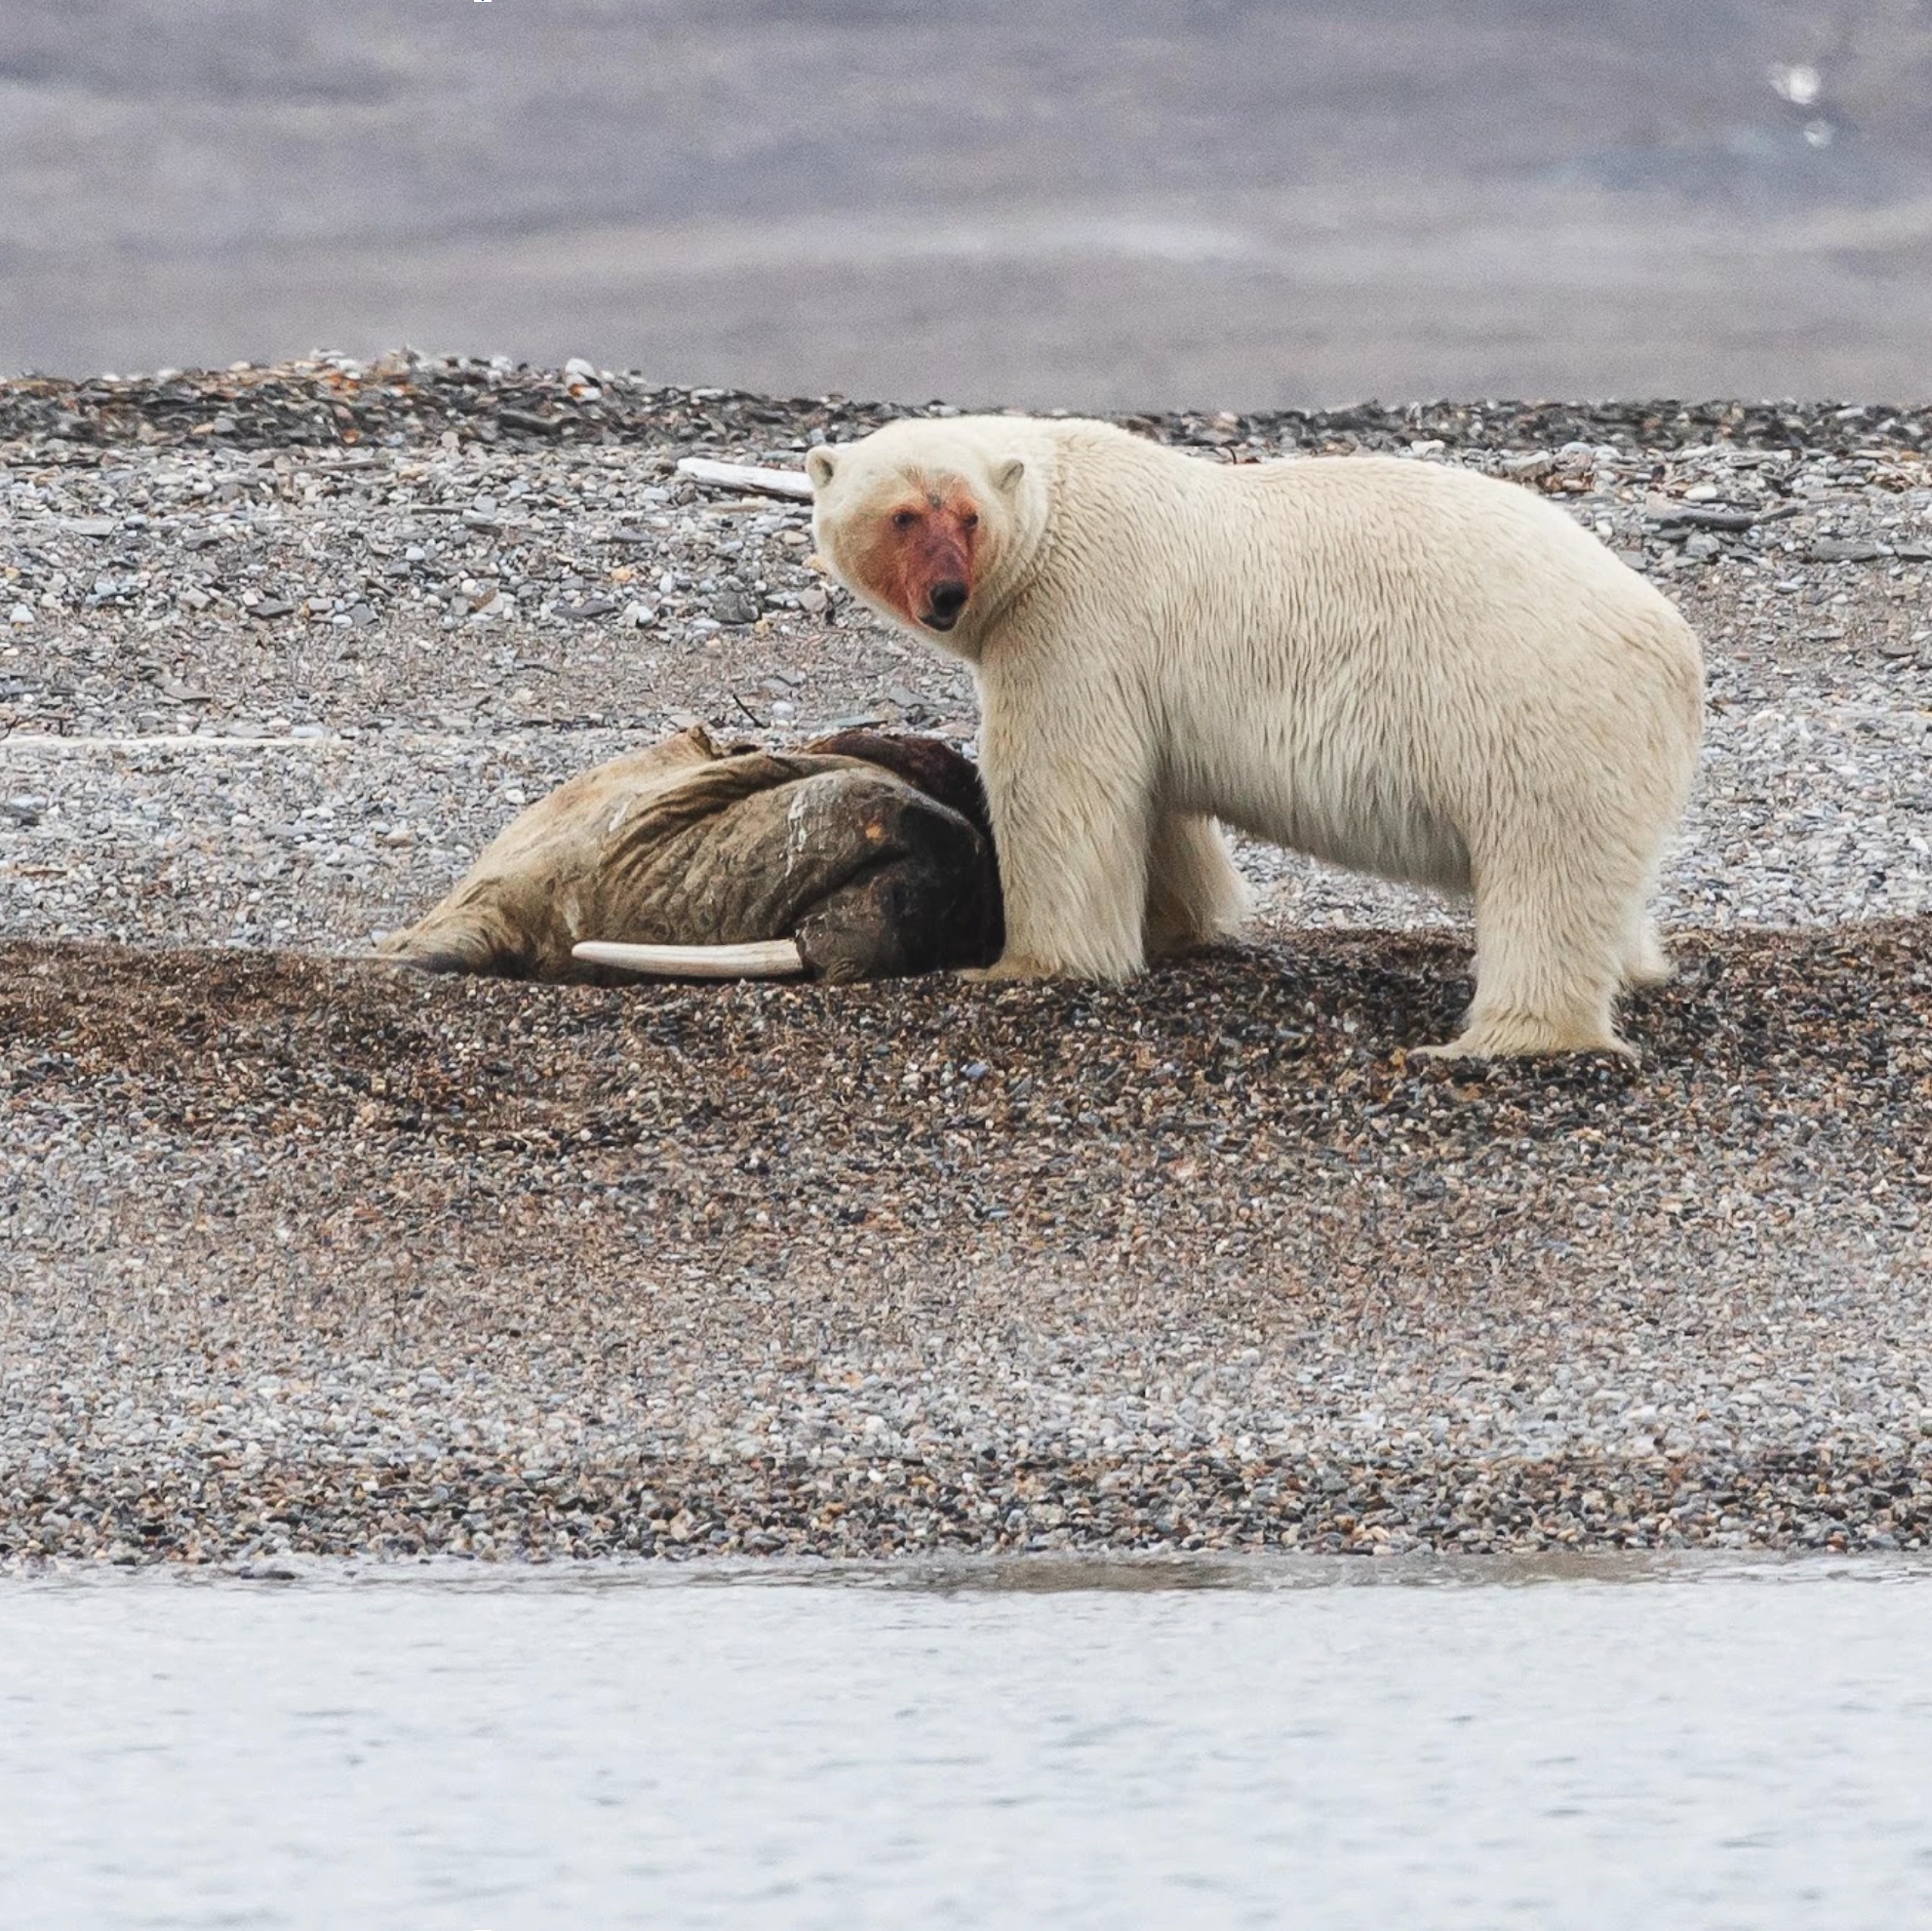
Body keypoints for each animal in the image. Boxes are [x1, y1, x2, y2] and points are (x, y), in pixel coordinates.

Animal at [806, 414, 1704, 1058]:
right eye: (900, 515)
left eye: (964, 514)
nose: (946, 595)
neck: (1053, 517)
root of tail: (1670, 640)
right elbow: (1153, 803)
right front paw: (1177, 925)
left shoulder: (1073, 616)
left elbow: (1057, 787)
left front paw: (1019, 965)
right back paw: (1632, 964)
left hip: (1532, 704)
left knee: (1544, 868)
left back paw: (1501, 1039)